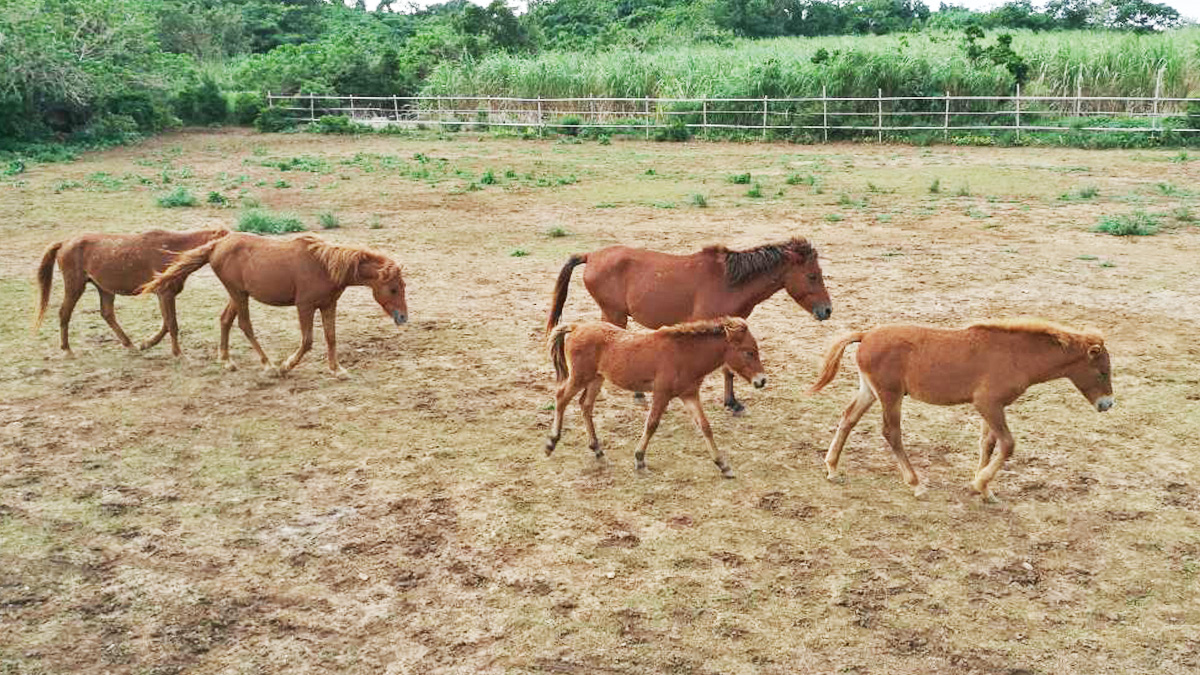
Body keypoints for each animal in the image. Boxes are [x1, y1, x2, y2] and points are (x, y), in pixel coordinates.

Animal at [34, 225, 229, 355]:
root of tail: (64, 243)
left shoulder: (165, 295)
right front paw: (177, 353)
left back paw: (129, 344)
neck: (174, 250)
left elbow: (166, 323)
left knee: (107, 314)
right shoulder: (165, 294)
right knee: (64, 312)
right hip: (75, 286)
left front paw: (146, 344)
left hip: (104, 289)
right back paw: (67, 349)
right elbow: (172, 324)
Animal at [138, 233, 405, 379]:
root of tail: (217, 245)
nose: (403, 317)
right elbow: (307, 341)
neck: (324, 266)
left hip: (238, 294)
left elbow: (331, 338)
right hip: (238, 294)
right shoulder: (305, 306)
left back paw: (226, 360)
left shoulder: (329, 305)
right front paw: (286, 366)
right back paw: (269, 366)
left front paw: (337, 369)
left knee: (225, 320)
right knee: (244, 325)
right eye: (393, 288)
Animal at [547, 317, 763, 475]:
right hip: (580, 377)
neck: (685, 355)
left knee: (585, 405)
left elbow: (705, 426)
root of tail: (576, 327)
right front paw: (640, 459)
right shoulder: (662, 393)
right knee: (561, 397)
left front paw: (723, 464)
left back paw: (597, 449)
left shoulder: (689, 395)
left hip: (596, 379)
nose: (761, 381)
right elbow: (652, 424)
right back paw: (551, 442)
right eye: (749, 352)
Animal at [549, 236, 830, 415]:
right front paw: (731, 403)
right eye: (812, 276)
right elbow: (726, 368)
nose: (827, 310)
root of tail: (591, 256)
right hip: (614, 315)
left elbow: (729, 368)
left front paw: (732, 402)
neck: (729, 283)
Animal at [806, 317, 1113, 499]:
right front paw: (982, 483)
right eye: (1102, 373)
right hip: (890, 394)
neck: (1016, 356)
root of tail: (866, 334)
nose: (1107, 404)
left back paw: (832, 468)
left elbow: (988, 443)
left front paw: (983, 487)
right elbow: (1008, 444)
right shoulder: (987, 404)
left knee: (848, 418)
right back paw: (915, 483)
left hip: (869, 391)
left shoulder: (992, 407)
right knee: (891, 432)